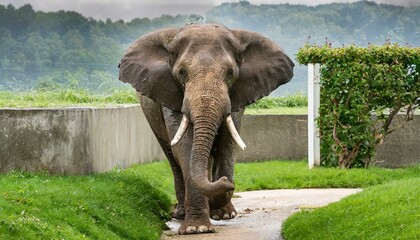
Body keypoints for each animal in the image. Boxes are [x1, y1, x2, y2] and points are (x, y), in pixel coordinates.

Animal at [118, 23, 294, 233]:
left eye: (230, 73)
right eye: (182, 72)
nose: (227, 182)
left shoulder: (237, 95)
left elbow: (228, 144)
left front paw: (220, 212)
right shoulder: (170, 93)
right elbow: (184, 147)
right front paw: (197, 229)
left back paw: (223, 213)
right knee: (173, 158)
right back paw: (182, 214)